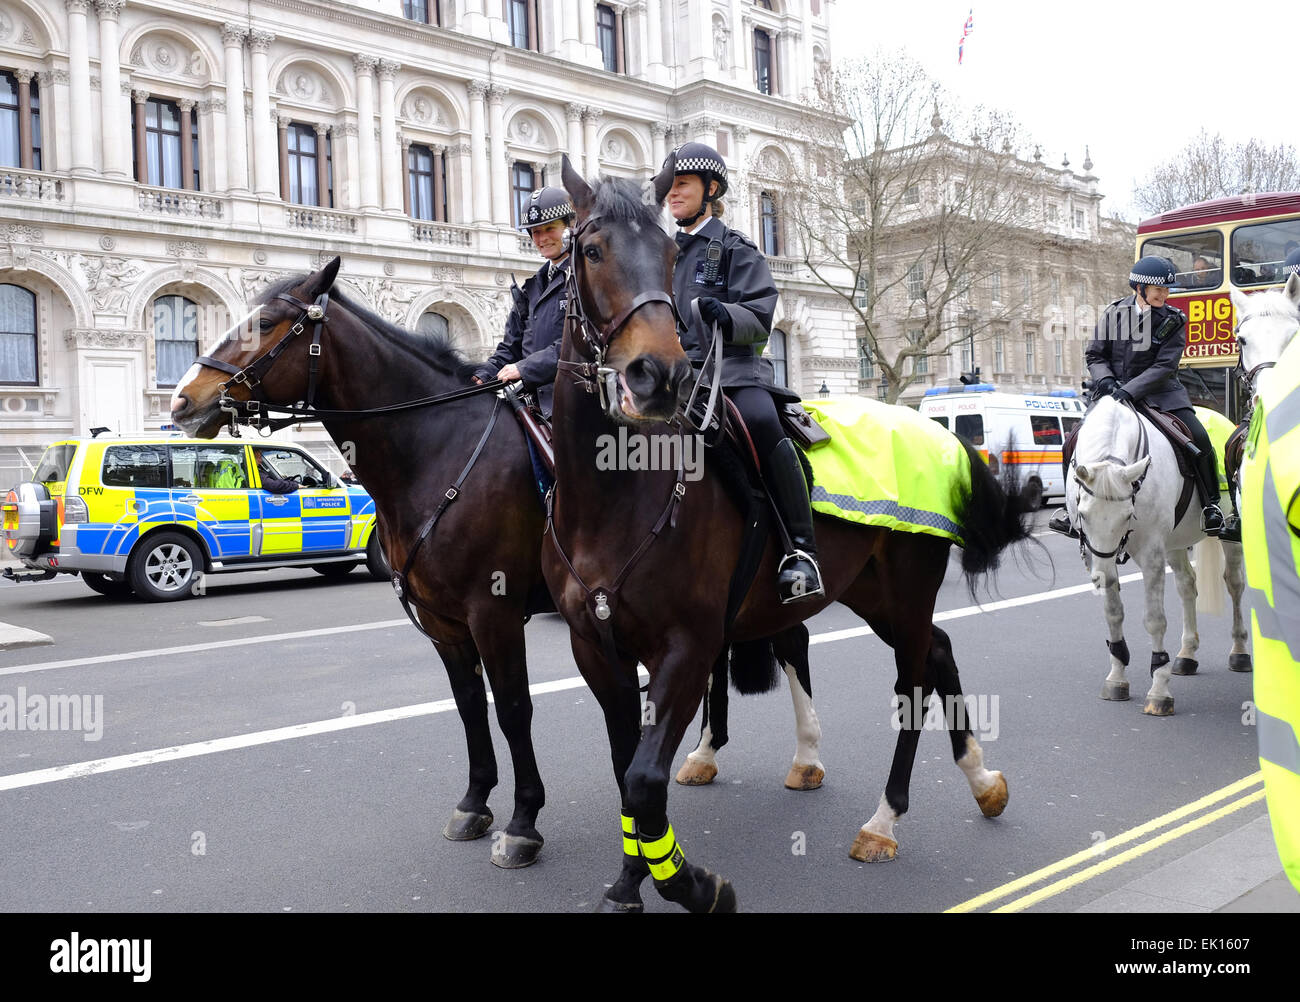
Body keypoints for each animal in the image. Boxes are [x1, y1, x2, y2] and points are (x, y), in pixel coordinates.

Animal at [543, 152, 1029, 914]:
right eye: (591, 251)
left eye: (672, 255)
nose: (659, 375)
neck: (617, 496)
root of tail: (934, 430)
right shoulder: (597, 650)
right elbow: (628, 773)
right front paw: (629, 884)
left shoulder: (689, 647)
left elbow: (646, 781)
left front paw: (693, 883)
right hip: (869, 591)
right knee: (941, 652)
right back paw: (982, 781)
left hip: (907, 588)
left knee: (915, 678)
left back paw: (884, 821)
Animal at [1066, 395, 1248, 717]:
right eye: (1084, 515)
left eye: (1128, 514)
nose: (1101, 575)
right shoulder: (1095, 554)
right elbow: (1113, 612)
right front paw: (1117, 676)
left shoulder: (1151, 553)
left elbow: (1154, 619)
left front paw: (1159, 690)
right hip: (1175, 543)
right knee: (1187, 585)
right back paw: (1187, 654)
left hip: (1229, 528)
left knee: (1234, 583)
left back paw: (1239, 652)